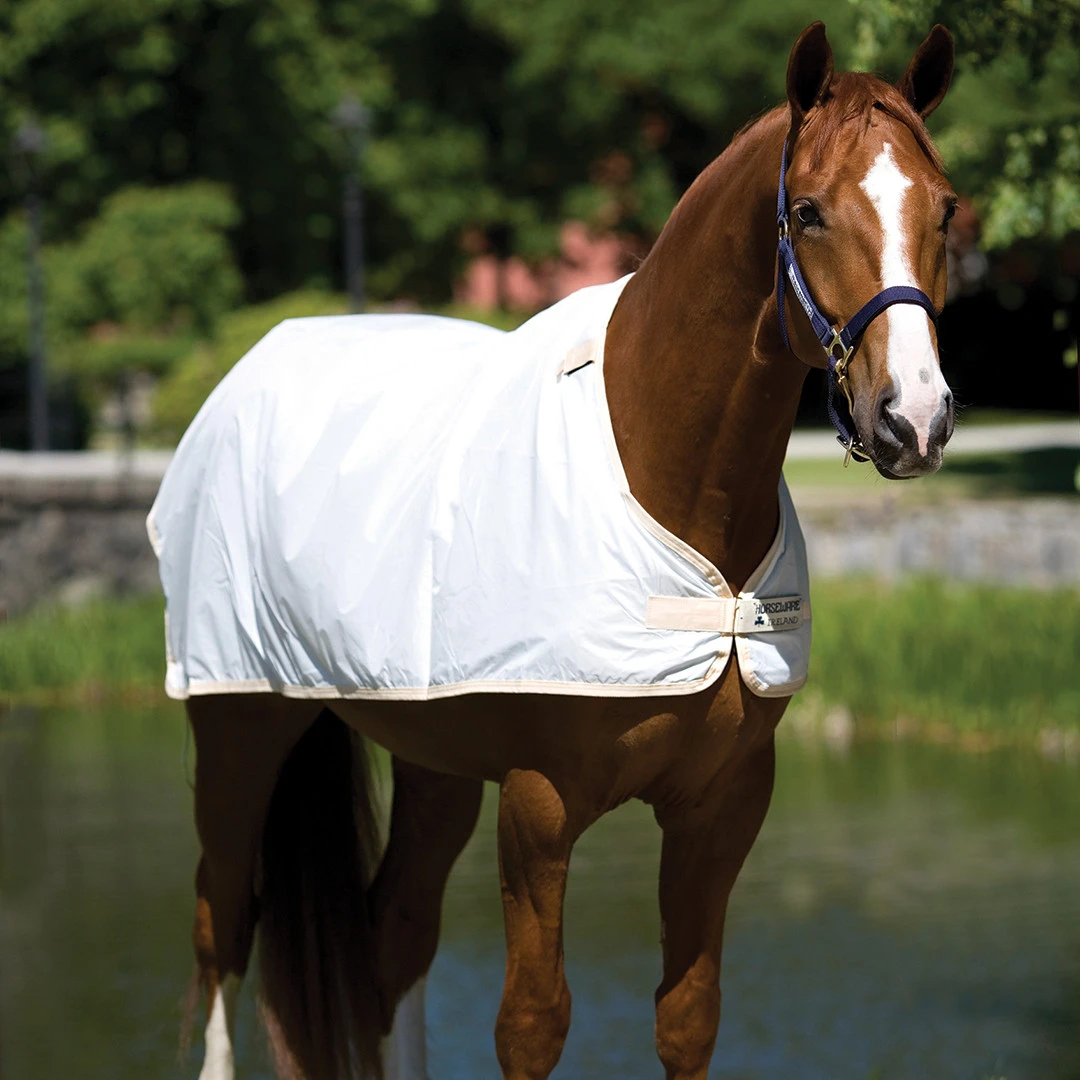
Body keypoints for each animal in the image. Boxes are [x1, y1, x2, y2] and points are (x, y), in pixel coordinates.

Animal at [165, 21, 957, 1080]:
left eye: (946, 209)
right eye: (808, 210)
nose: (914, 417)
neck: (670, 486)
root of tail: (251, 366)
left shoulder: (722, 806)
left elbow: (688, 1015)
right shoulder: (539, 811)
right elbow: (532, 1023)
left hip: (433, 759)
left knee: (392, 937)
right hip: (239, 725)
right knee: (223, 932)